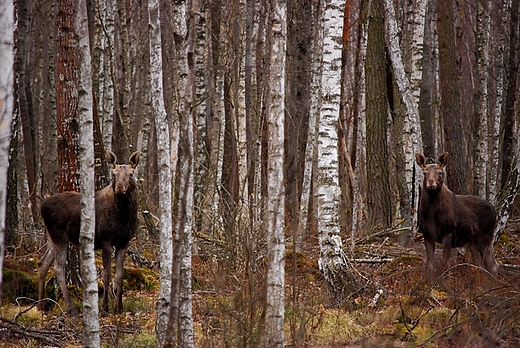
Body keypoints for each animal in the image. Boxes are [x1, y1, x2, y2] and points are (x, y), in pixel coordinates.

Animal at [38, 150, 140, 316]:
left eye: (131, 174)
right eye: (113, 174)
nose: (119, 189)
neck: (124, 217)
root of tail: (41, 205)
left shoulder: (124, 242)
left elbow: (120, 275)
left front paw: (119, 308)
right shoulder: (106, 240)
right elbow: (106, 275)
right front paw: (105, 308)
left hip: (51, 237)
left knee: (43, 263)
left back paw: (40, 306)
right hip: (59, 235)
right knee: (58, 268)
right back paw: (71, 309)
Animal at [416, 154, 498, 282]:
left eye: (440, 172)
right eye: (424, 173)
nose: (431, 185)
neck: (432, 212)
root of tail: (494, 210)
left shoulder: (447, 232)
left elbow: (445, 264)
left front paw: (445, 283)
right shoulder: (427, 233)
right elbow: (429, 265)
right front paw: (428, 282)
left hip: (486, 237)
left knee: (493, 265)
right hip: (472, 242)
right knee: (481, 264)